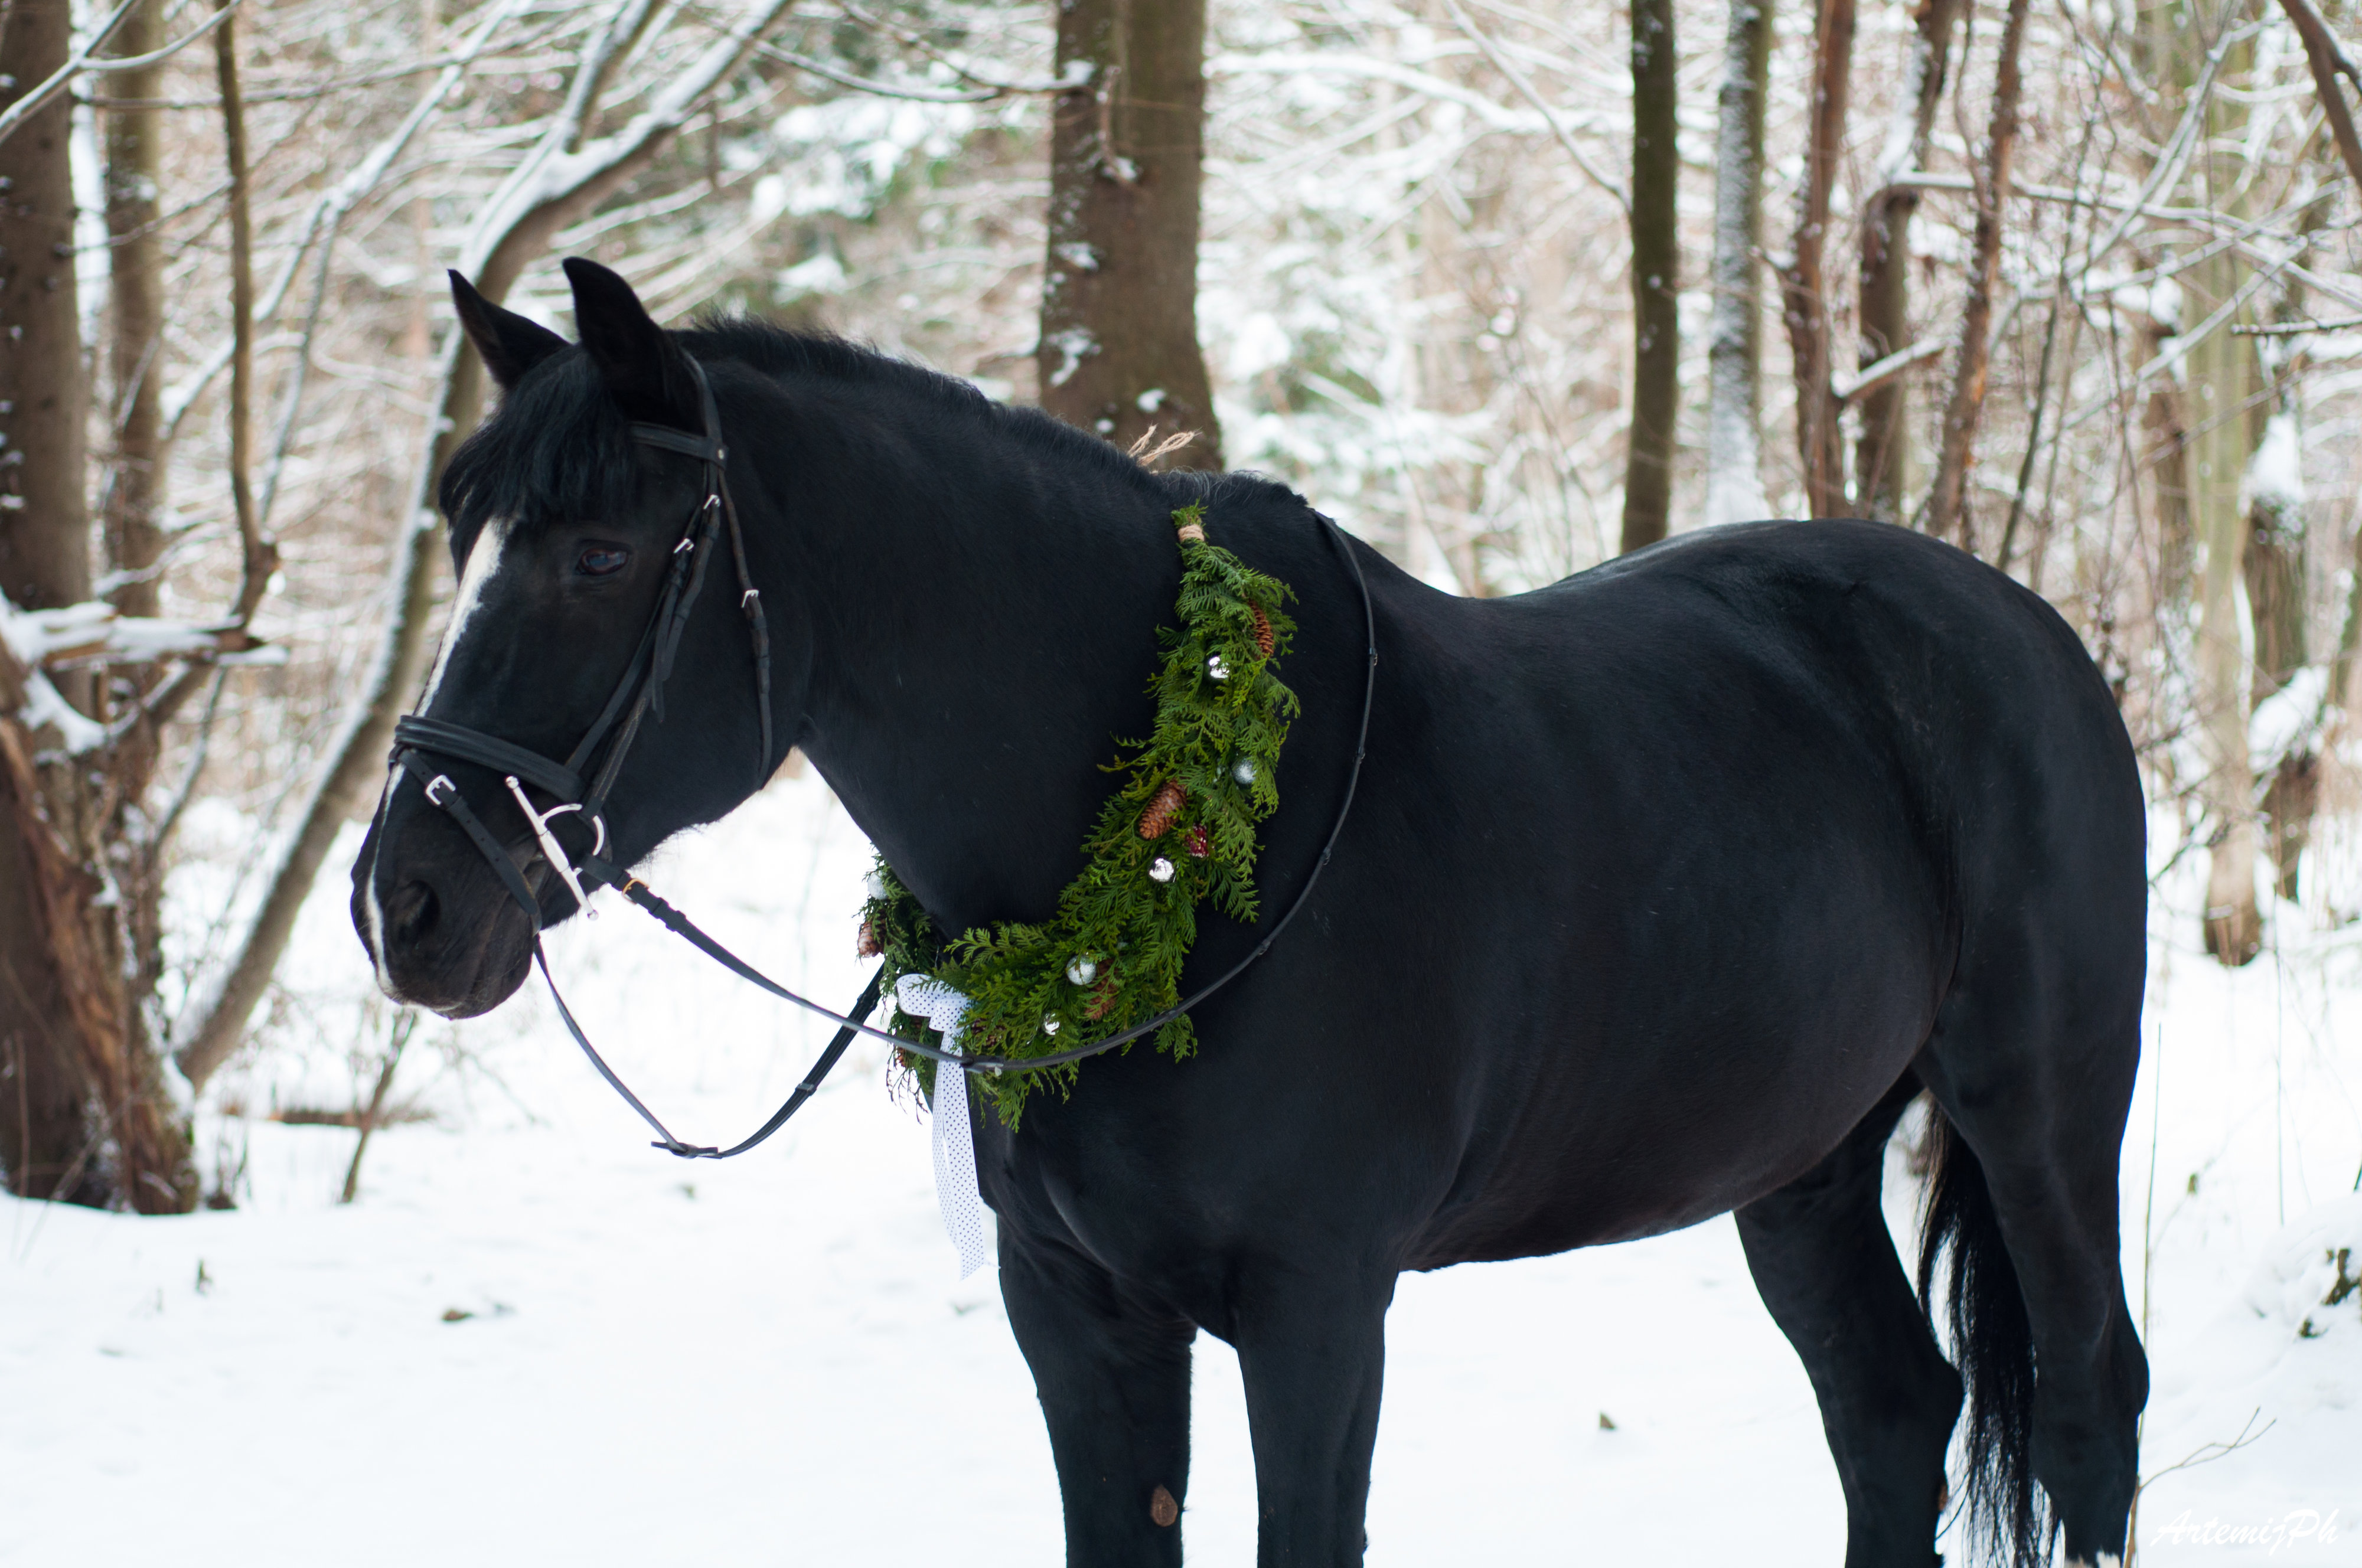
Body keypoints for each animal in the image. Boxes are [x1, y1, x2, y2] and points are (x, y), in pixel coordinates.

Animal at [350, 260, 2145, 1568]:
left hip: (2037, 1113)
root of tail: (2017, 625)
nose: (404, 902)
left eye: (599, 553)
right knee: (1892, 1416)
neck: (1174, 860)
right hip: (1798, 1165)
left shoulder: (1316, 1311)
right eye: (465, 536)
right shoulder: (1079, 1317)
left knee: (2085, 1404)